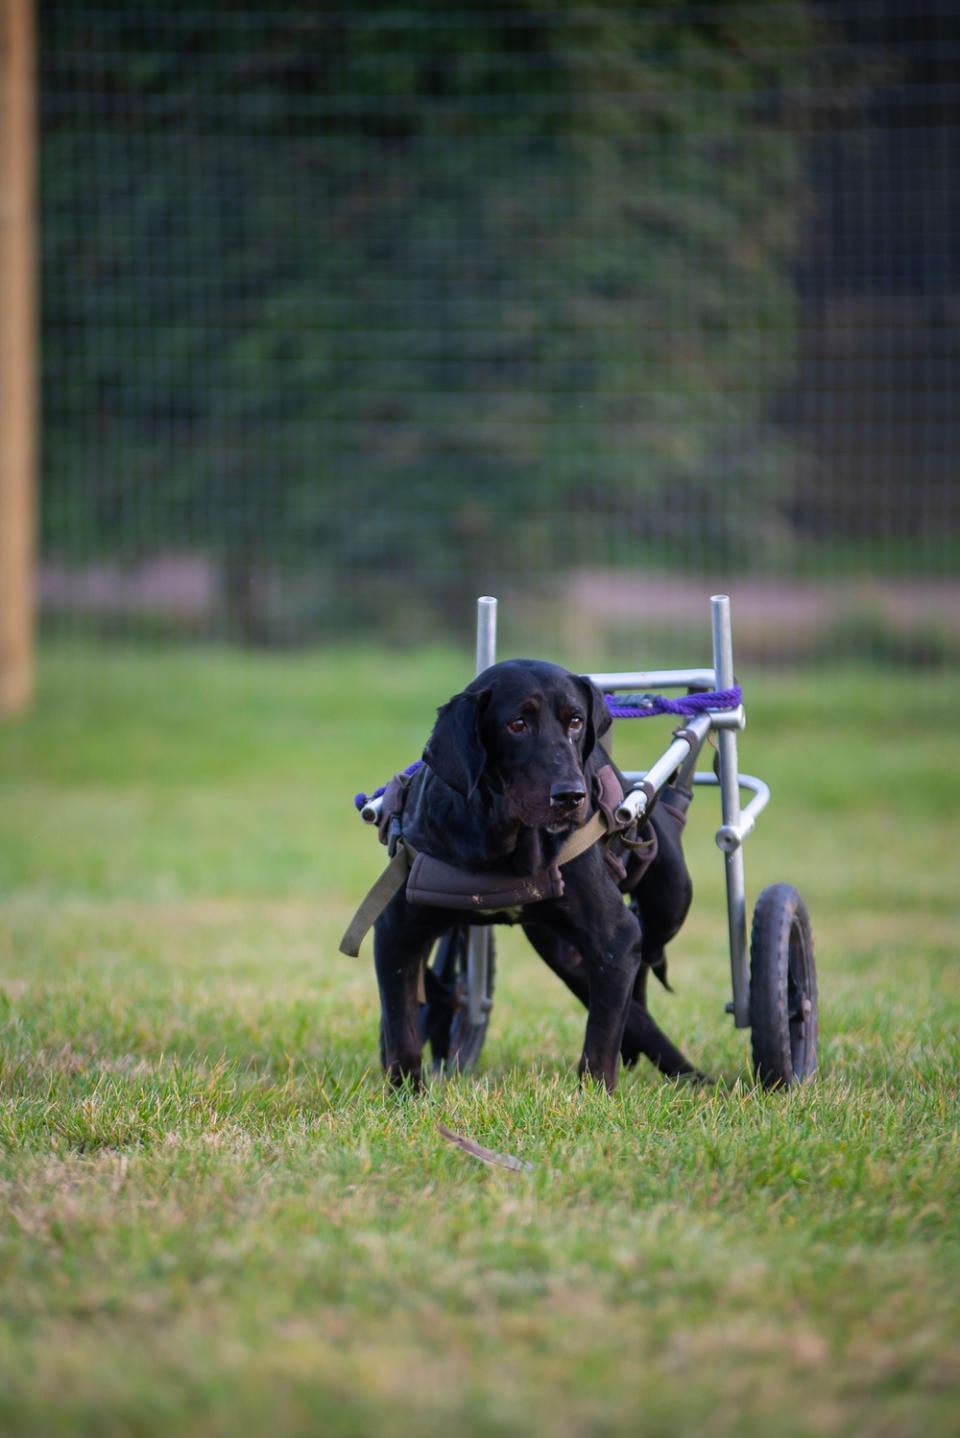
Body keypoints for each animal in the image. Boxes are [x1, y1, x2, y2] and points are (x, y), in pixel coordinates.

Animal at [370, 658, 698, 1087]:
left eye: (575, 721)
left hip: (669, 901)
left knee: (645, 959)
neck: (503, 843)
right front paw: (407, 1095)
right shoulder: (395, 934)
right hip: (564, 952)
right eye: (517, 724)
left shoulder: (616, 936)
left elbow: (600, 1041)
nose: (571, 796)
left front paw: (596, 1095)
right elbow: (401, 1033)